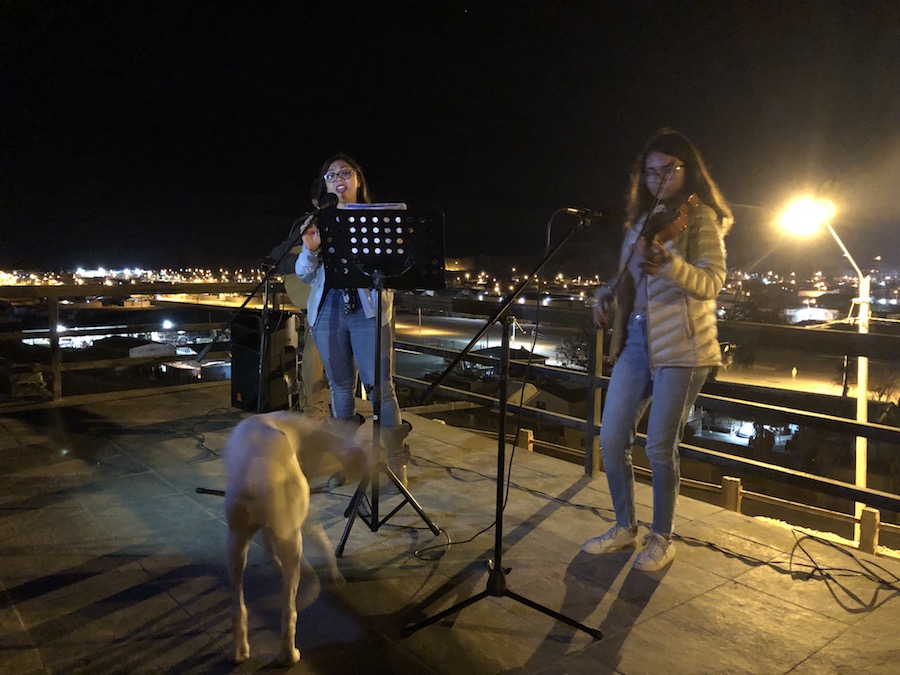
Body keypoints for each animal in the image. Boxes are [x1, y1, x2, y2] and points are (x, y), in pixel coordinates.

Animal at [224, 411, 367, 664]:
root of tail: (262, 476)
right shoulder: (306, 518)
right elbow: (325, 545)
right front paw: (336, 575)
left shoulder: (269, 529)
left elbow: (269, 545)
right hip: (293, 544)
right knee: (289, 612)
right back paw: (289, 654)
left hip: (236, 545)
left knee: (238, 608)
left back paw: (239, 651)